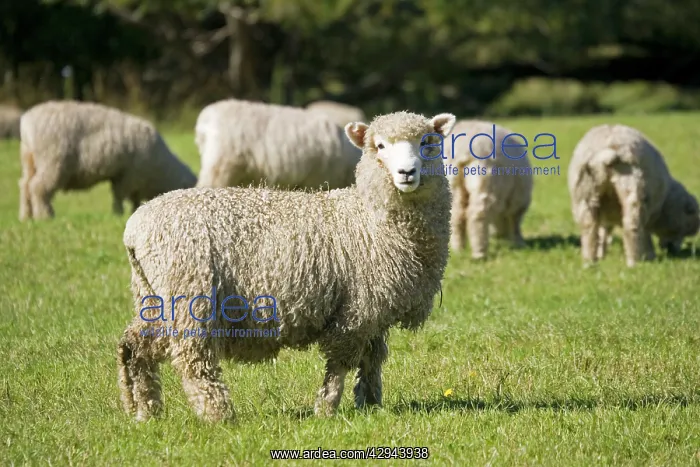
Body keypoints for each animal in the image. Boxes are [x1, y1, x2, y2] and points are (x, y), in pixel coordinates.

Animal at [18, 100, 197, 220]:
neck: (160, 167)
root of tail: (27, 122)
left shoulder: (129, 177)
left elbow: (133, 197)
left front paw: (134, 209)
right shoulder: (128, 175)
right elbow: (120, 196)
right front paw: (119, 213)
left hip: (30, 160)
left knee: (25, 185)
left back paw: (26, 216)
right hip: (52, 161)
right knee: (38, 187)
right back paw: (45, 215)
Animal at [117, 110, 457, 423]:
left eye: (426, 142)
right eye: (380, 146)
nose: (406, 172)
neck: (369, 217)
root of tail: (135, 227)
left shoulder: (376, 310)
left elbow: (373, 360)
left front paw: (371, 404)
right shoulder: (356, 311)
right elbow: (340, 364)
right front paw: (327, 408)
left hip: (153, 297)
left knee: (133, 346)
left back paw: (144, 410)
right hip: (189, 296)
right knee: (193, 361)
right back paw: (218, 415)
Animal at [443, 120, 533, 259]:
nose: (498, 237)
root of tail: (460, 149)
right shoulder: (519, 200)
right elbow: (515, 222)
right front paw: (519, 242)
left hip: (452, 186)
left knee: (456, 216)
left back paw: (459, 250)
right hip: (487, 181)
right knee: (478, 215)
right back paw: (479, 253)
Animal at [568, 123, 700, 267]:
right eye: (685, 229)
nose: (673, 251)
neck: (665, 203)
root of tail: (608, 149)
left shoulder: (606, 218)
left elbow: (603, 233)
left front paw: (601, 254)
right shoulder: (649, 210)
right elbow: (645, 234)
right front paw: (650, 255)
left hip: (584, 194)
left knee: (589, 228)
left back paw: (589, 261)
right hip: (633, 189)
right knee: (632, 226)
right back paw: (634, 262)